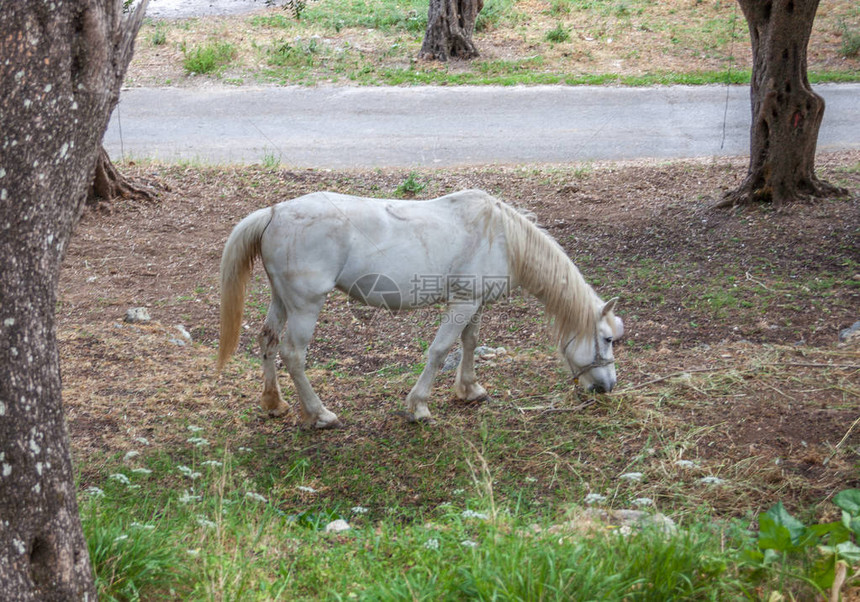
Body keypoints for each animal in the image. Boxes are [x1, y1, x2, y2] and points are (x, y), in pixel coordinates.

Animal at [218, 188, 620, 426]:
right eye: (607, 339)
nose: (607, 387)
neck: (502, 237)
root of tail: (274, 213)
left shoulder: (474, 303)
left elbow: (469, 343)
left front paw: (470, 390)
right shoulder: (461, 304)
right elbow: (440, 352)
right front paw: (419, 406)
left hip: (282, 299)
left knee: (268, 341)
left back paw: (274, 403)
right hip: (305, 306)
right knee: (293, 354)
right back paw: (320, 414)